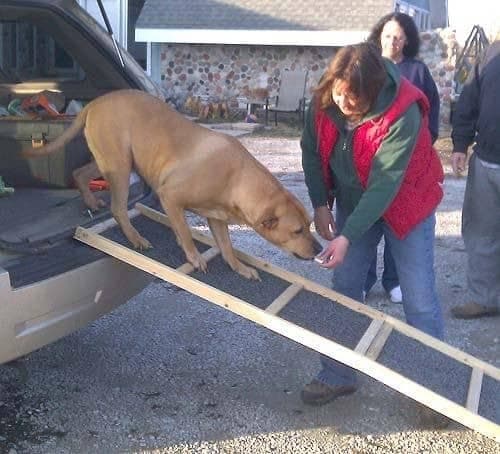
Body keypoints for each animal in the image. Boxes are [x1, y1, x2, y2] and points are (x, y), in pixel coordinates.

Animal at [21, 89, 322, 278]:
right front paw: (194, 256)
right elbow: (187, 232)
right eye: (297, 231)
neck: (237, 178)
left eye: (310, 225)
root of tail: (95, 103)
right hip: (119, 166)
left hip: (110, 160)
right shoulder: (170, 196)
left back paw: (91, 200)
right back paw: (135, 237)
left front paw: (240, 267)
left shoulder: (218, 219)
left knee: (80, 173)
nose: (319, 249)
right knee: (118, 208)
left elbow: (227, 248)